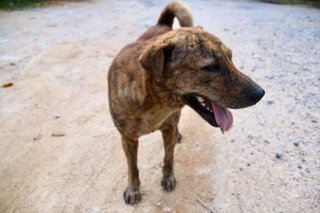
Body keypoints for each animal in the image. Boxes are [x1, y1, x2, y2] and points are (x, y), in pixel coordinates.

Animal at [108, 0, 264, 204]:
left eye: (230, 58)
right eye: (210, 67)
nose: (260, 93)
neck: (155, 103)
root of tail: (162, 24)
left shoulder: (168, 126)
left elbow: (168, 157)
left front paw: (168, 177)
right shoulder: (128, 138)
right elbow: (132, 167)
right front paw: (133, 189)